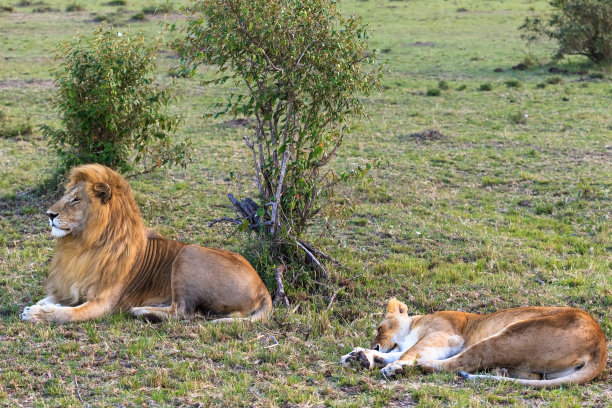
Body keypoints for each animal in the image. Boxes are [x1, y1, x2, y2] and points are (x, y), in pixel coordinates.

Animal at [20, 164, 272, 324]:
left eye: (75, 199)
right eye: (66, 196)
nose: (49, 214)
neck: (83, 246)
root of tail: (262, 287)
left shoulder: (103, 302)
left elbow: (67, 314)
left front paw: (39, 315)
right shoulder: (72, 286)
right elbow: (51, 299)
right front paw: (39, 306)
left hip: (188, 253)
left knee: (183, 312)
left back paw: (141, 311)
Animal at [342, 298, 604, 388]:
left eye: (379, 329)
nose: (376, 345)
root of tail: (600, 344)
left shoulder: (445, 335)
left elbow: (411, 352)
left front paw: (389, 364)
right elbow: (397, 353)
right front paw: (359, 356)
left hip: (510, 334)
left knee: (456, 365)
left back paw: (406, 369)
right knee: (535, 376)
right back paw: (501, 371)